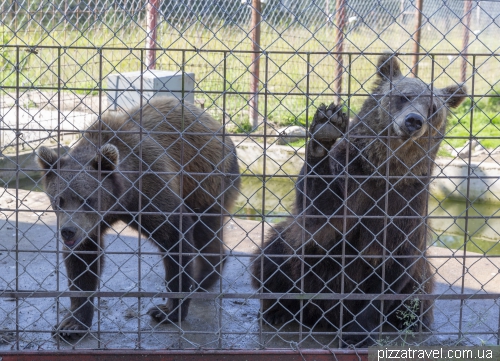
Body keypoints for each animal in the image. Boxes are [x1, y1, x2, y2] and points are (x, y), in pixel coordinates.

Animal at [38, 95, 241, 338]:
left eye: (87, 199)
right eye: (58, 199)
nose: (68, 231)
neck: (119, 201)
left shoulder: (149, 188)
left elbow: (174, 235)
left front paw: (168, 310)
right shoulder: (90, 225)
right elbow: (83, 262)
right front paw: (72, 324)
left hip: (204, 178)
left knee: (205, 230)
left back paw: (202, 278)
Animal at [252, 52, 466, 344]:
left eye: (433, 108)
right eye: (404, 96)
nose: (414, 121)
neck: (384, 169)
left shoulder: (407, 200)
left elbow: (392, 265)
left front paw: (357, 331)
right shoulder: (352, 178)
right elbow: (321, 218)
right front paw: (325, 131)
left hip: (420, 278)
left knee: (419, 290)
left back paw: (410, 322)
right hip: (294, 267)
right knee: (274, 253)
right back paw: (278, 309)